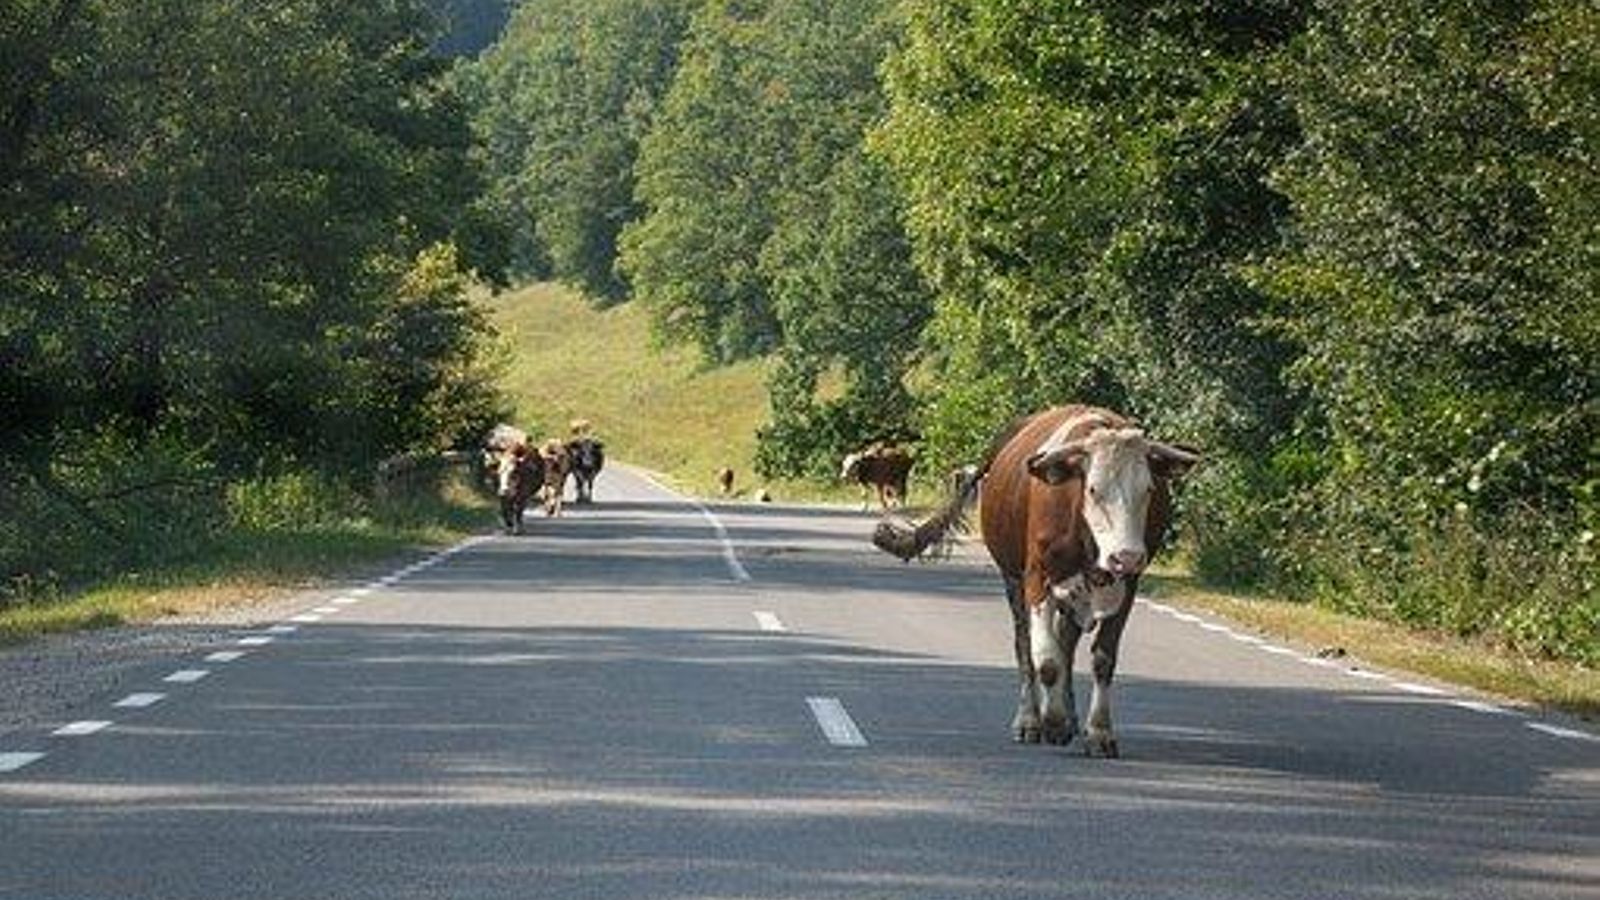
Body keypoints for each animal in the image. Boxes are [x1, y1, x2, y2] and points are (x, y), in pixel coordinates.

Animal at [873, 405, 1199, 758]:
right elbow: (1045, 660)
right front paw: (1051, 722)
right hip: (1013, 580)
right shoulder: (1036, 580)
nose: (1126, 556)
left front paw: (1098, 732)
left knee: (1065, 642)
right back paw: (1030, 719)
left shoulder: (1126, 587)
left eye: (1149, 490)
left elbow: (1101, 659)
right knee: (1025, 646)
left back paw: (1070, 717)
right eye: (1093, 489)